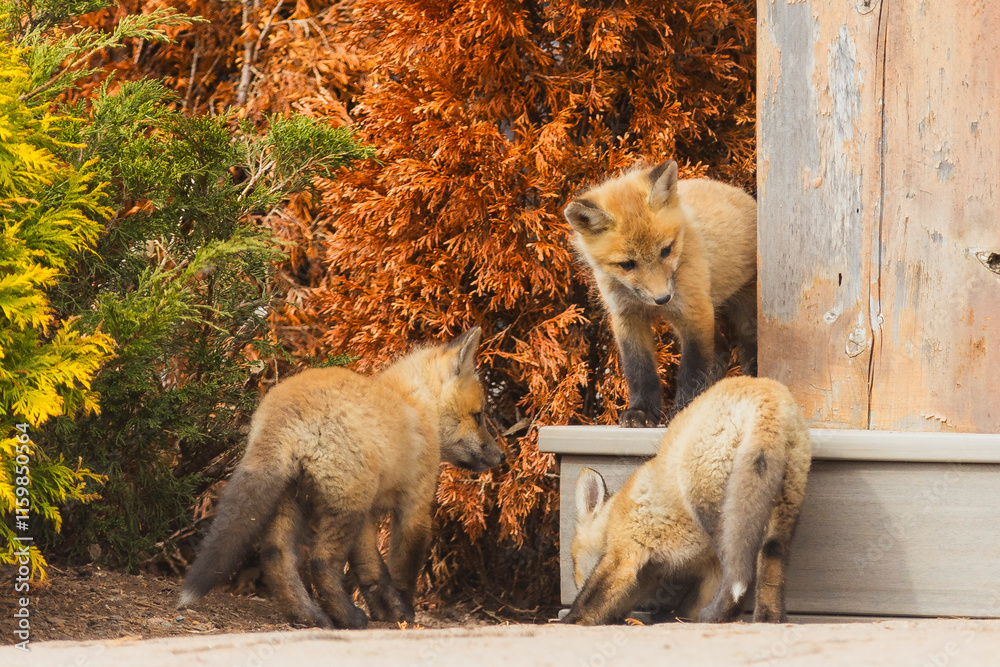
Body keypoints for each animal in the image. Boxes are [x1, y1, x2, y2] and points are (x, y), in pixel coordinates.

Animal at [177, 327, 504, 629]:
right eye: (479, 416)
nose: (501, 457)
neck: (415, 406)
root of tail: (285, 408)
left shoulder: (369, 513)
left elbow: (372, 570)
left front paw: (387, 610)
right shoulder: (414, 507)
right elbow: (403, 570)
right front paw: (404, 613)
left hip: (296, 500)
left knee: (276, 557)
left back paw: (308, 616)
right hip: (347, 504)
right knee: (320, 563)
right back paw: (347, 616)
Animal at [563, 376, 810, 625]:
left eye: (576, 569)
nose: (575, 583)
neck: (612, 517)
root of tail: (765, 391)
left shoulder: (625, 550)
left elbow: (593, 597)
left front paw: (571, 620)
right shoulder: (703, 566)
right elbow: (686, 605)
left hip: (711, 509)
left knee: (738, 573)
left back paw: (722, 616)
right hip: (784, 507)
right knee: (772, 558)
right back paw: (768, 619)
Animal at [564, 160, 758, 426]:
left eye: (666, 250)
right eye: (627, 264)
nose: (663, 298)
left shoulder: (695, 310)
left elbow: (692, 368)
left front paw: (682, 411)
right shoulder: (627, 317)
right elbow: (639, 368)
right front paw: (642, 411)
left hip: (743, 316)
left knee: (746, 351)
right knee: (721, 354)